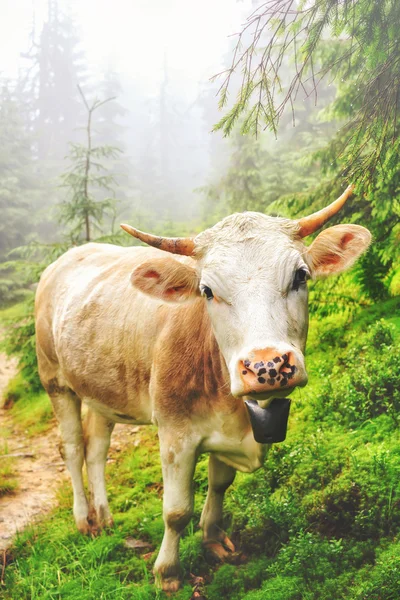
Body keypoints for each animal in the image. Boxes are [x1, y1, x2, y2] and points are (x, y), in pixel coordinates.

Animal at [35, 188, 372, 592]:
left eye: (300, 275)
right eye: (207, 291)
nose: (267, 366)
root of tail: (64, 259)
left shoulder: (228, 431)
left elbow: (220, 483)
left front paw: (213, 540)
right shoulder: (175, 433)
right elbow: (176, 510)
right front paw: (167, 572)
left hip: (103, 389)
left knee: (97, 448)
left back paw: (105, 515)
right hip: (54, 380)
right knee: (72, 449)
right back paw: (84, 519)